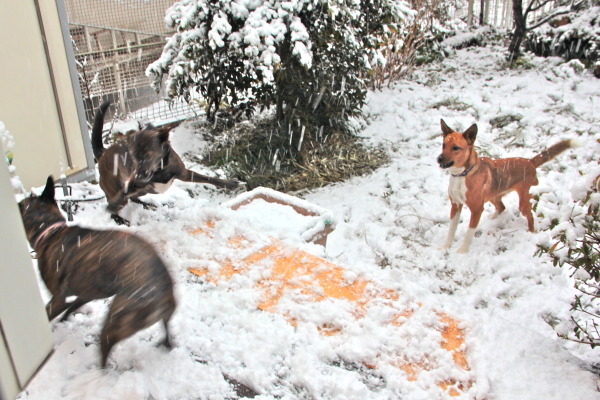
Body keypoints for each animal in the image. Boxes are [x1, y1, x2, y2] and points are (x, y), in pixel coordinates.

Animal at [18, 177, 177, 368]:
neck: (50, 231)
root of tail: (160, 297)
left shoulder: (57, 299)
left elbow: (53, 311)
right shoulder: (88, 293)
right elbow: (73, 305)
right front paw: (64, 319)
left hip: (114, 322)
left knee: (105, 355)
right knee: (167, 331)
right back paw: (166, 343)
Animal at [92, 100, 241, 225]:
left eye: (148, 156)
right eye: (133, 157)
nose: (137, 181)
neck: (160, 170)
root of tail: (102, 153)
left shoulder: (183, 173)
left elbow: (207, 178)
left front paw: (229, 184)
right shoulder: (132, 184)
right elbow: (120, 197)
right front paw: (113, 206)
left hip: (142, 191)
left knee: (133, 198)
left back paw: (145, 205)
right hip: (116, 187)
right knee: (118, 202)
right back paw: (118, 218)